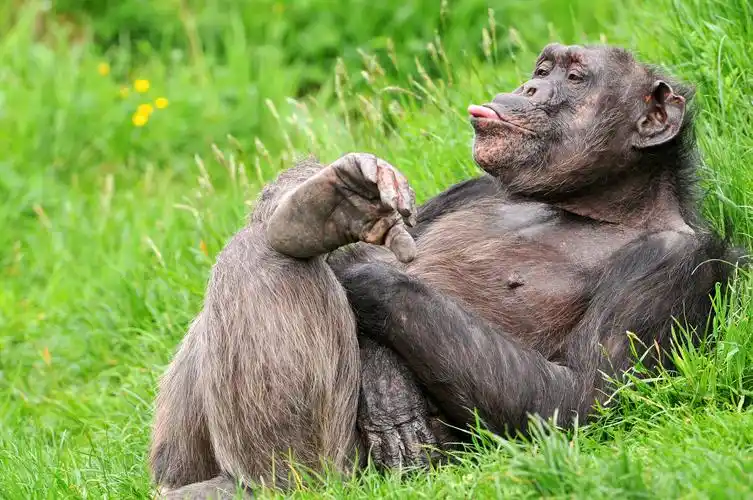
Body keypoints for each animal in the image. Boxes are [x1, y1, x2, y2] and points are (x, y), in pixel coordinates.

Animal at [149, 43, 744, 499]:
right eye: (542, 69)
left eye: (575, 78)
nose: (529, 89)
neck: (588, 206)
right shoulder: (473, 186)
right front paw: (343, 198)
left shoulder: (675, 265)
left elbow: (575, 400)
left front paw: (366, 283)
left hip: (347, 472)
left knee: (266, 259)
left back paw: (262, 482)